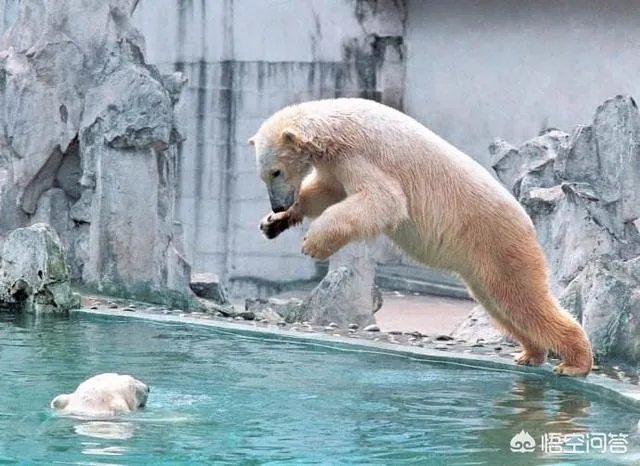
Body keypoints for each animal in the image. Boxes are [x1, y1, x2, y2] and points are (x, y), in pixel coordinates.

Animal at [249, 98, 593, 377]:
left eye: (276, 171)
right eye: (264, 175)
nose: (277, 204)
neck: (335, 125)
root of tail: (528, 222)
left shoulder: (360, 155)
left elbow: (383, 200)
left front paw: (313, 242)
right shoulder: (336, 164)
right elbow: (327, 192)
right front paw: (273, 223)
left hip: (499, 242)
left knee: (524, 298)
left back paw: (575, 362)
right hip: (483, 265)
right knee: (503, 305)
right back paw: (530, 354)